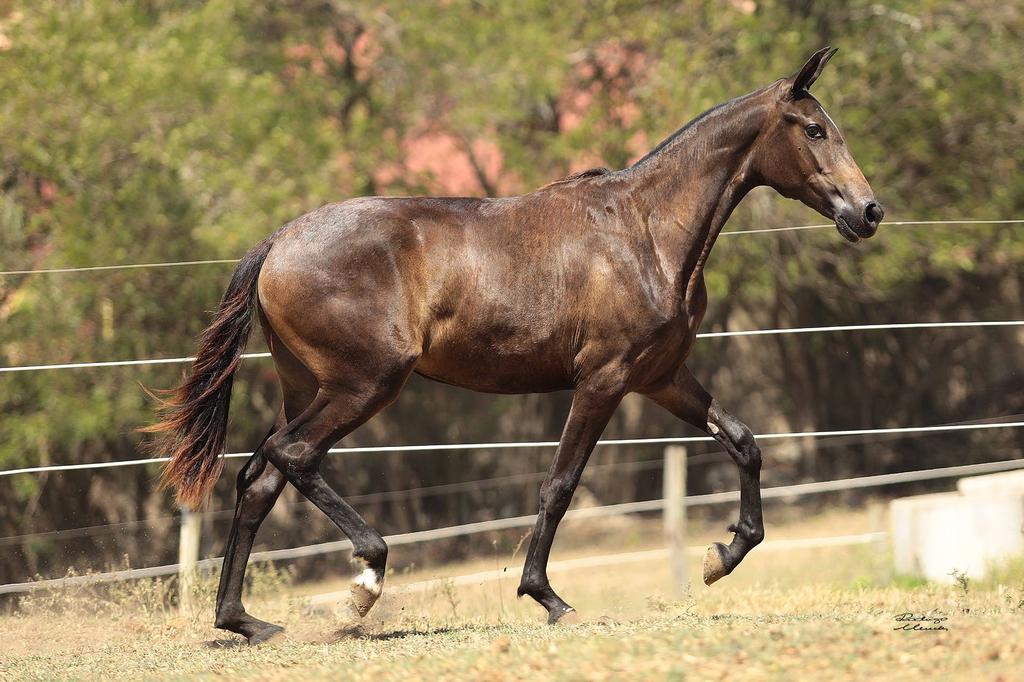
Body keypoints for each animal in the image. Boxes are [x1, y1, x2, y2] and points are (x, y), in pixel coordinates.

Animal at [148, 45, 884, 638]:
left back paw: (245, 622)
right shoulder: (604, 380)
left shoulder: (662, 377)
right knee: (293, 457)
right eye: (815, 129)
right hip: (366, 383)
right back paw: (363, 584)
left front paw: (720, 557)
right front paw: (549, 598)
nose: (869, 211)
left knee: (259, 478)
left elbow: (745, 443)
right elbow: (559, 485)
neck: (646, 232)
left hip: (308, 386)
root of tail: (279, 242)